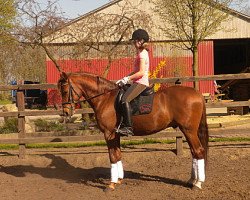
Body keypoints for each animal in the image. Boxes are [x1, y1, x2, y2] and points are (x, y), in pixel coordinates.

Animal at [58, 71, 209, 191]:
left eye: (64, 91)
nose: (65, 112)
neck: (105, 98)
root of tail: (197, 94)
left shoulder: (109, 134)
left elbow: (112, 157)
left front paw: (111, 184)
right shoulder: (116, 134)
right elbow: (118, 155)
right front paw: (119, 179)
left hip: (188, 130)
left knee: (198, 151)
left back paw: (197, 183)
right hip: (188, 131)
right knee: (194, 153)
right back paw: (192, 180)